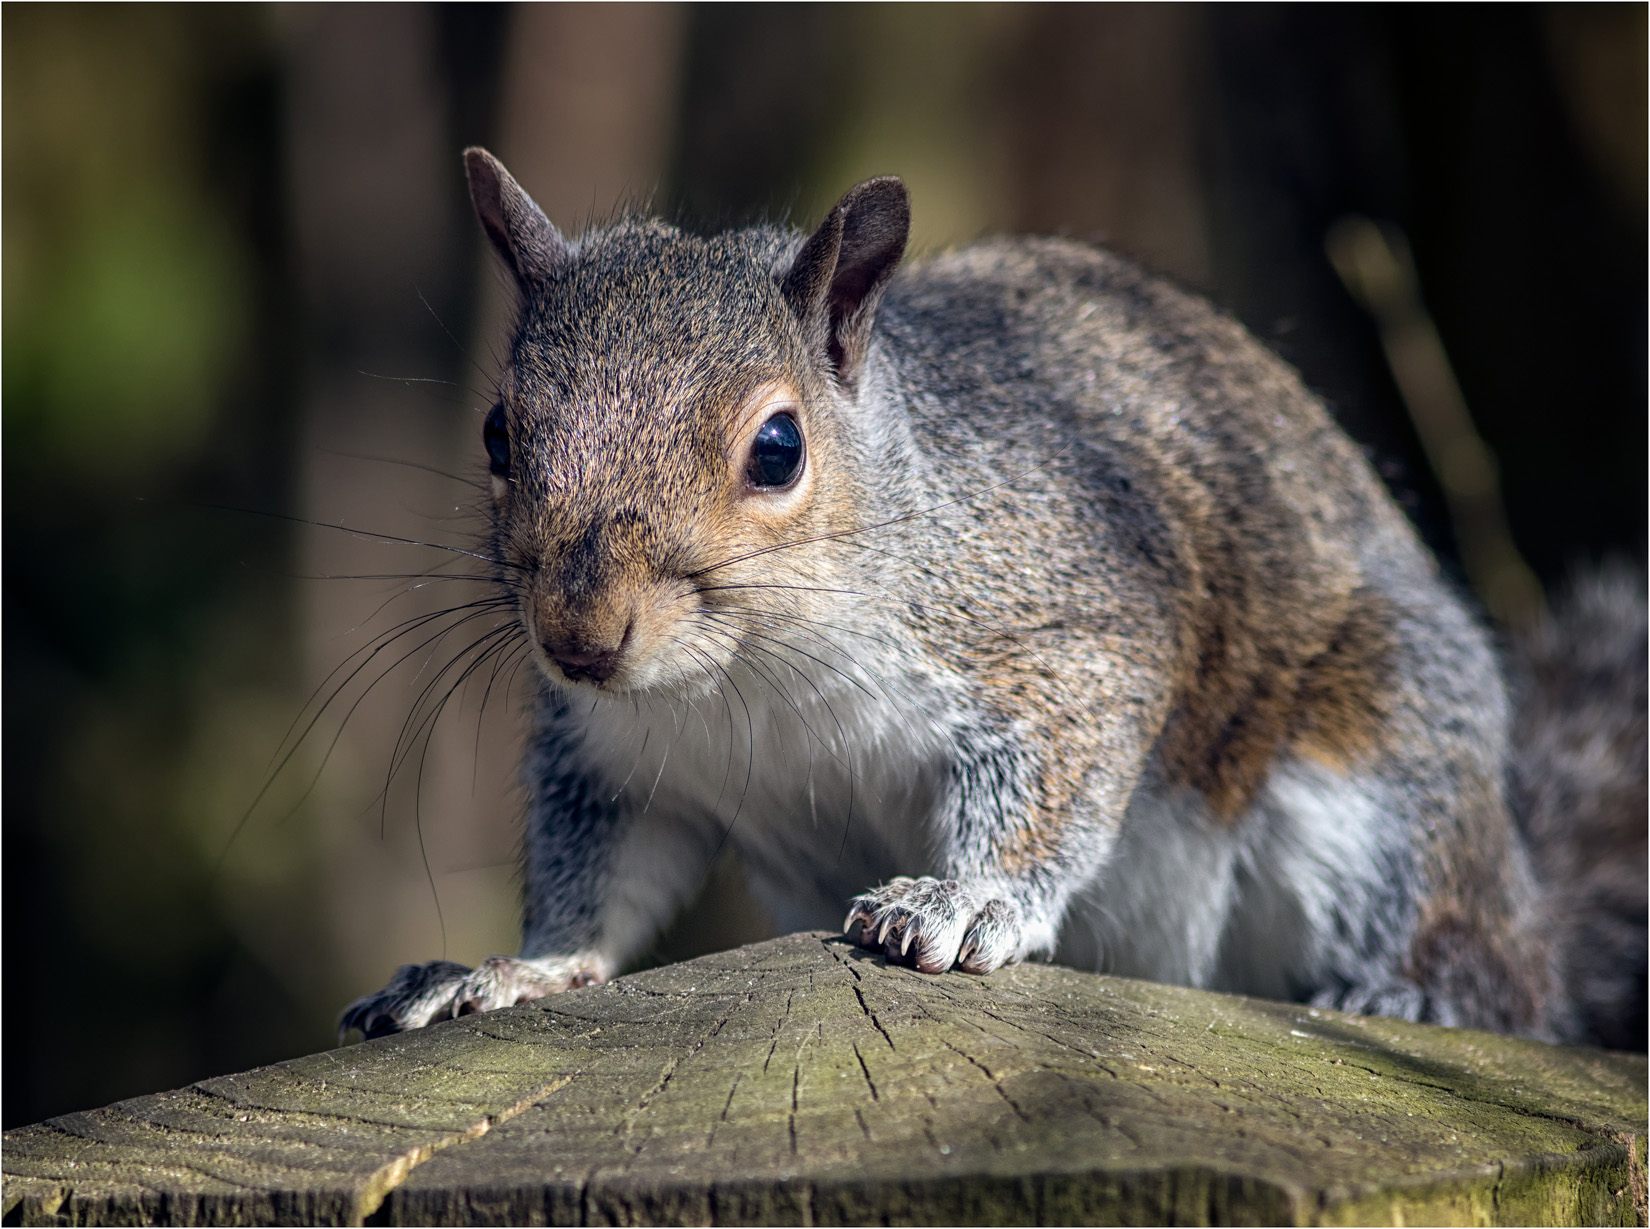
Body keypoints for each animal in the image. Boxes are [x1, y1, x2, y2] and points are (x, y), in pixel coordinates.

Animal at [341, 148, 1646, 1049]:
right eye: (499, 434)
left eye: (777, 449)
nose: (579, 639)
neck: (749, 674)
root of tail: (1519, 886)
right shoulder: (619, 759)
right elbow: (601, 882)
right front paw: (514, 968)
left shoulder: (1061, 630)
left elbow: (1053, 780)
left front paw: (966, 899)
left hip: (1382, 764)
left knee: (1485, 960)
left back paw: (1415, 988)